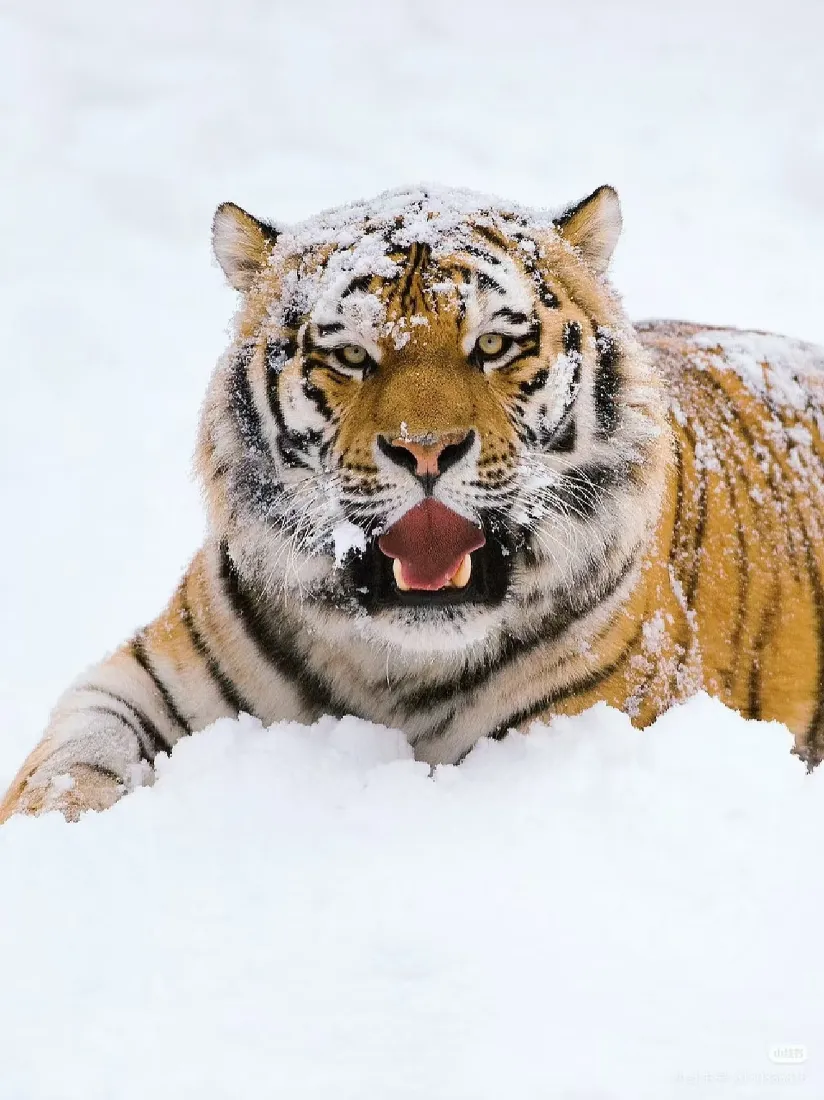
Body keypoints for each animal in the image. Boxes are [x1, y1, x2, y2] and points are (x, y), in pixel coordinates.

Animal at [4, 182, 824, 823]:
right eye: (350, 355)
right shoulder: (138, 680)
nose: (426, 451)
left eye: (492, 346)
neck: (398, 664)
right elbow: (72, 758)